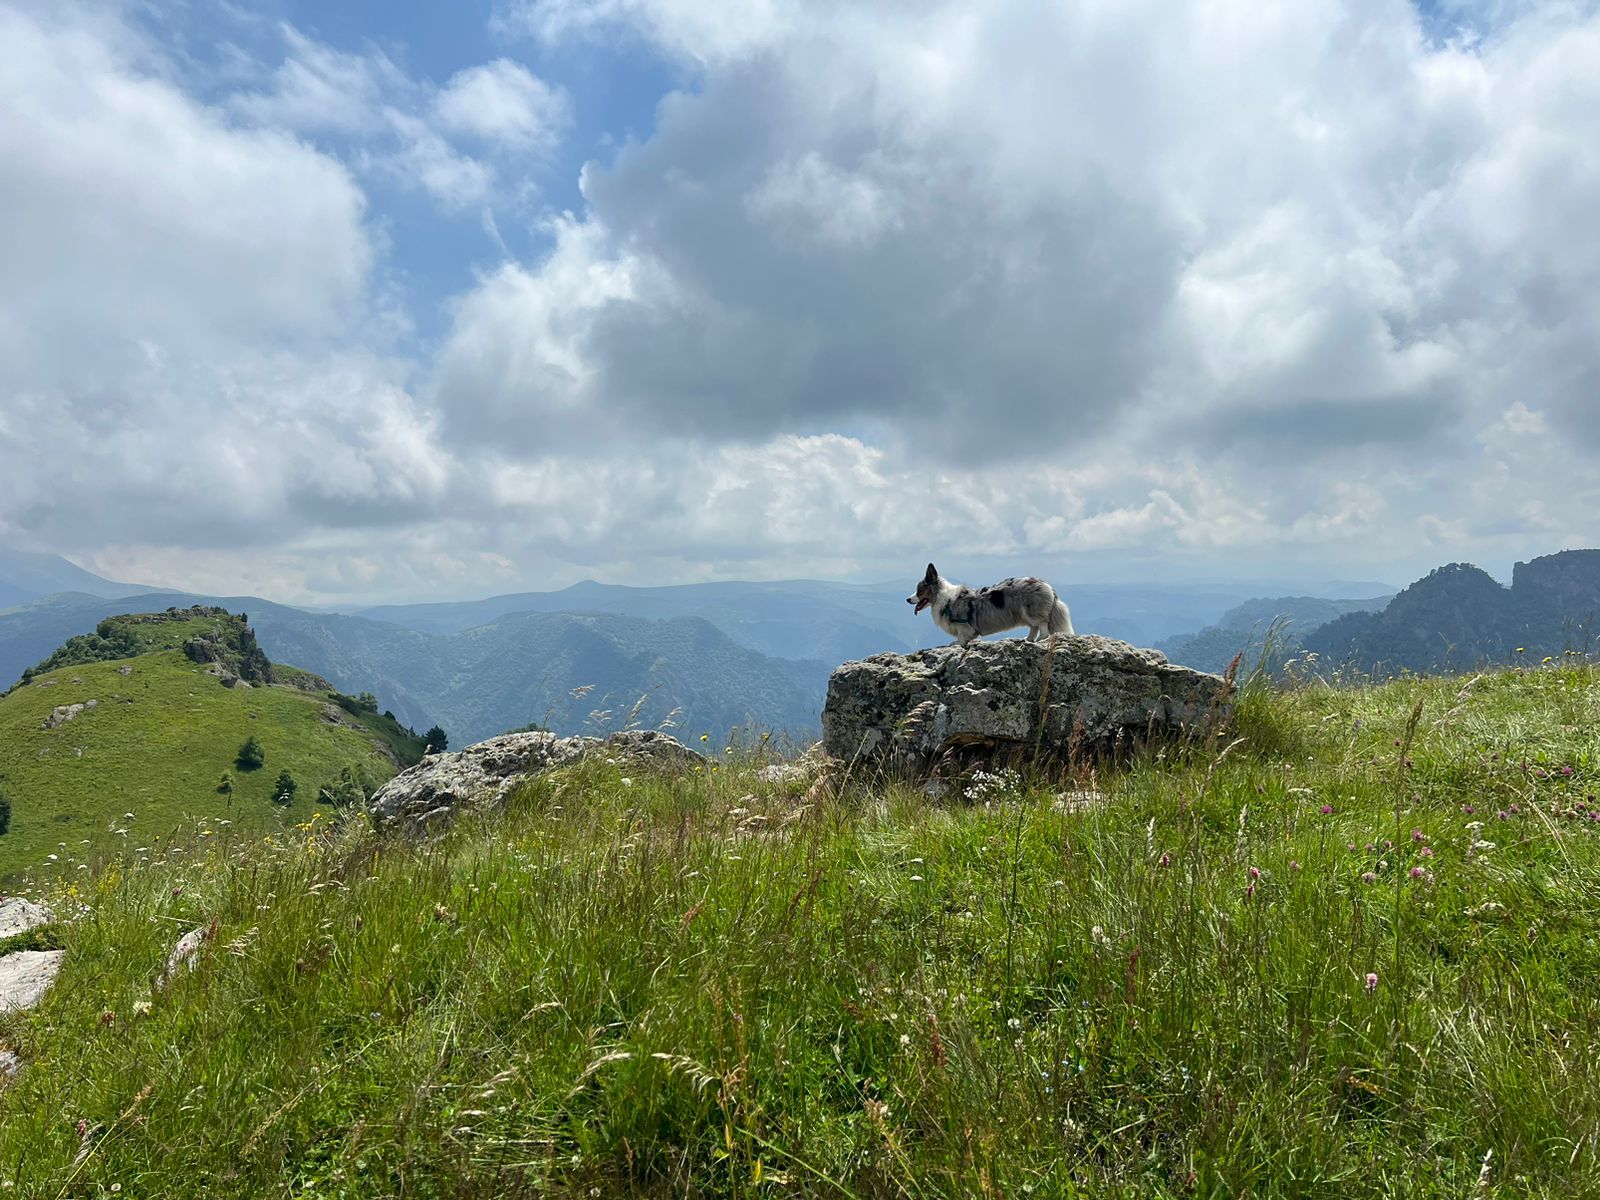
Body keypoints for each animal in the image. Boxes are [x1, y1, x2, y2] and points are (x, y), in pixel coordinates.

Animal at [902, 563, 1075, 649]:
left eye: (920, 590)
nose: (907, 599)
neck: (944, 599)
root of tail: (1048, 586)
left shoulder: (964, 627)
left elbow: (961, 637)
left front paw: (955, 644)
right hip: (1024, 614)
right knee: (1034, 628)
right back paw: (1027, 640)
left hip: (1031, 612)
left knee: (1043, 628)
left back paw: (1038, 641)